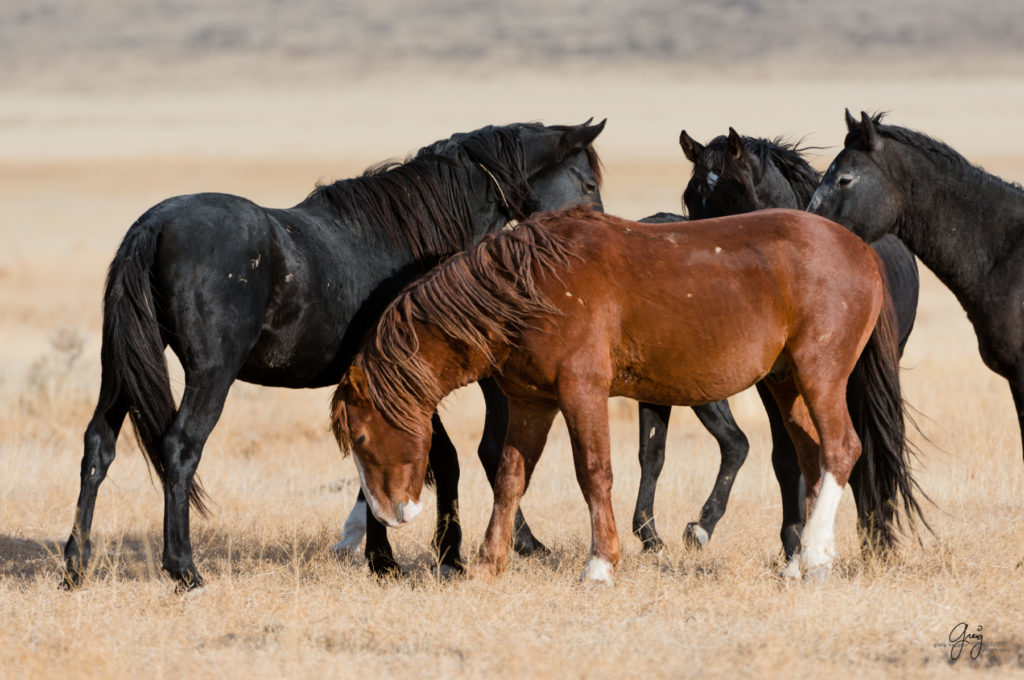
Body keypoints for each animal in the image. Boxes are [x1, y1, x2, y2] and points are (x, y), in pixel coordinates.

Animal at [59, 119, 602, 585]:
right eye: (588, 182)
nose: (597, 243)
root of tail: (153, 227)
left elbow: (380, 462)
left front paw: (384, 560)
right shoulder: (405, 382)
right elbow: (440, 459)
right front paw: (442, 557)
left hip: (119, 372)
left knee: (98, 447)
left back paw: (75, 566)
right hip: (210, 374)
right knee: (180, 448)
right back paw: (185, 571)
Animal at [331, 206, 925, 585]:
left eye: (360, 436)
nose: (390, 515)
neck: (530, 287)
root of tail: (861, 249)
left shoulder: (581, 392)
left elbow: (594, 473)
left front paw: (600, 565)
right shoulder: (531, 402)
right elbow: (510, 477)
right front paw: (489, 562)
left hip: (819, 374)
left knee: (842, 450)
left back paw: (817, 556)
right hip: (786, 384)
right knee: (812, 456)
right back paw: (801, 560)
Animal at [630, 127, 921, 557]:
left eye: (733, 197)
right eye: (691, 199)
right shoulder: (773, 382)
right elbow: (787, 456)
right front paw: (793, 536)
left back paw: (873, 537)